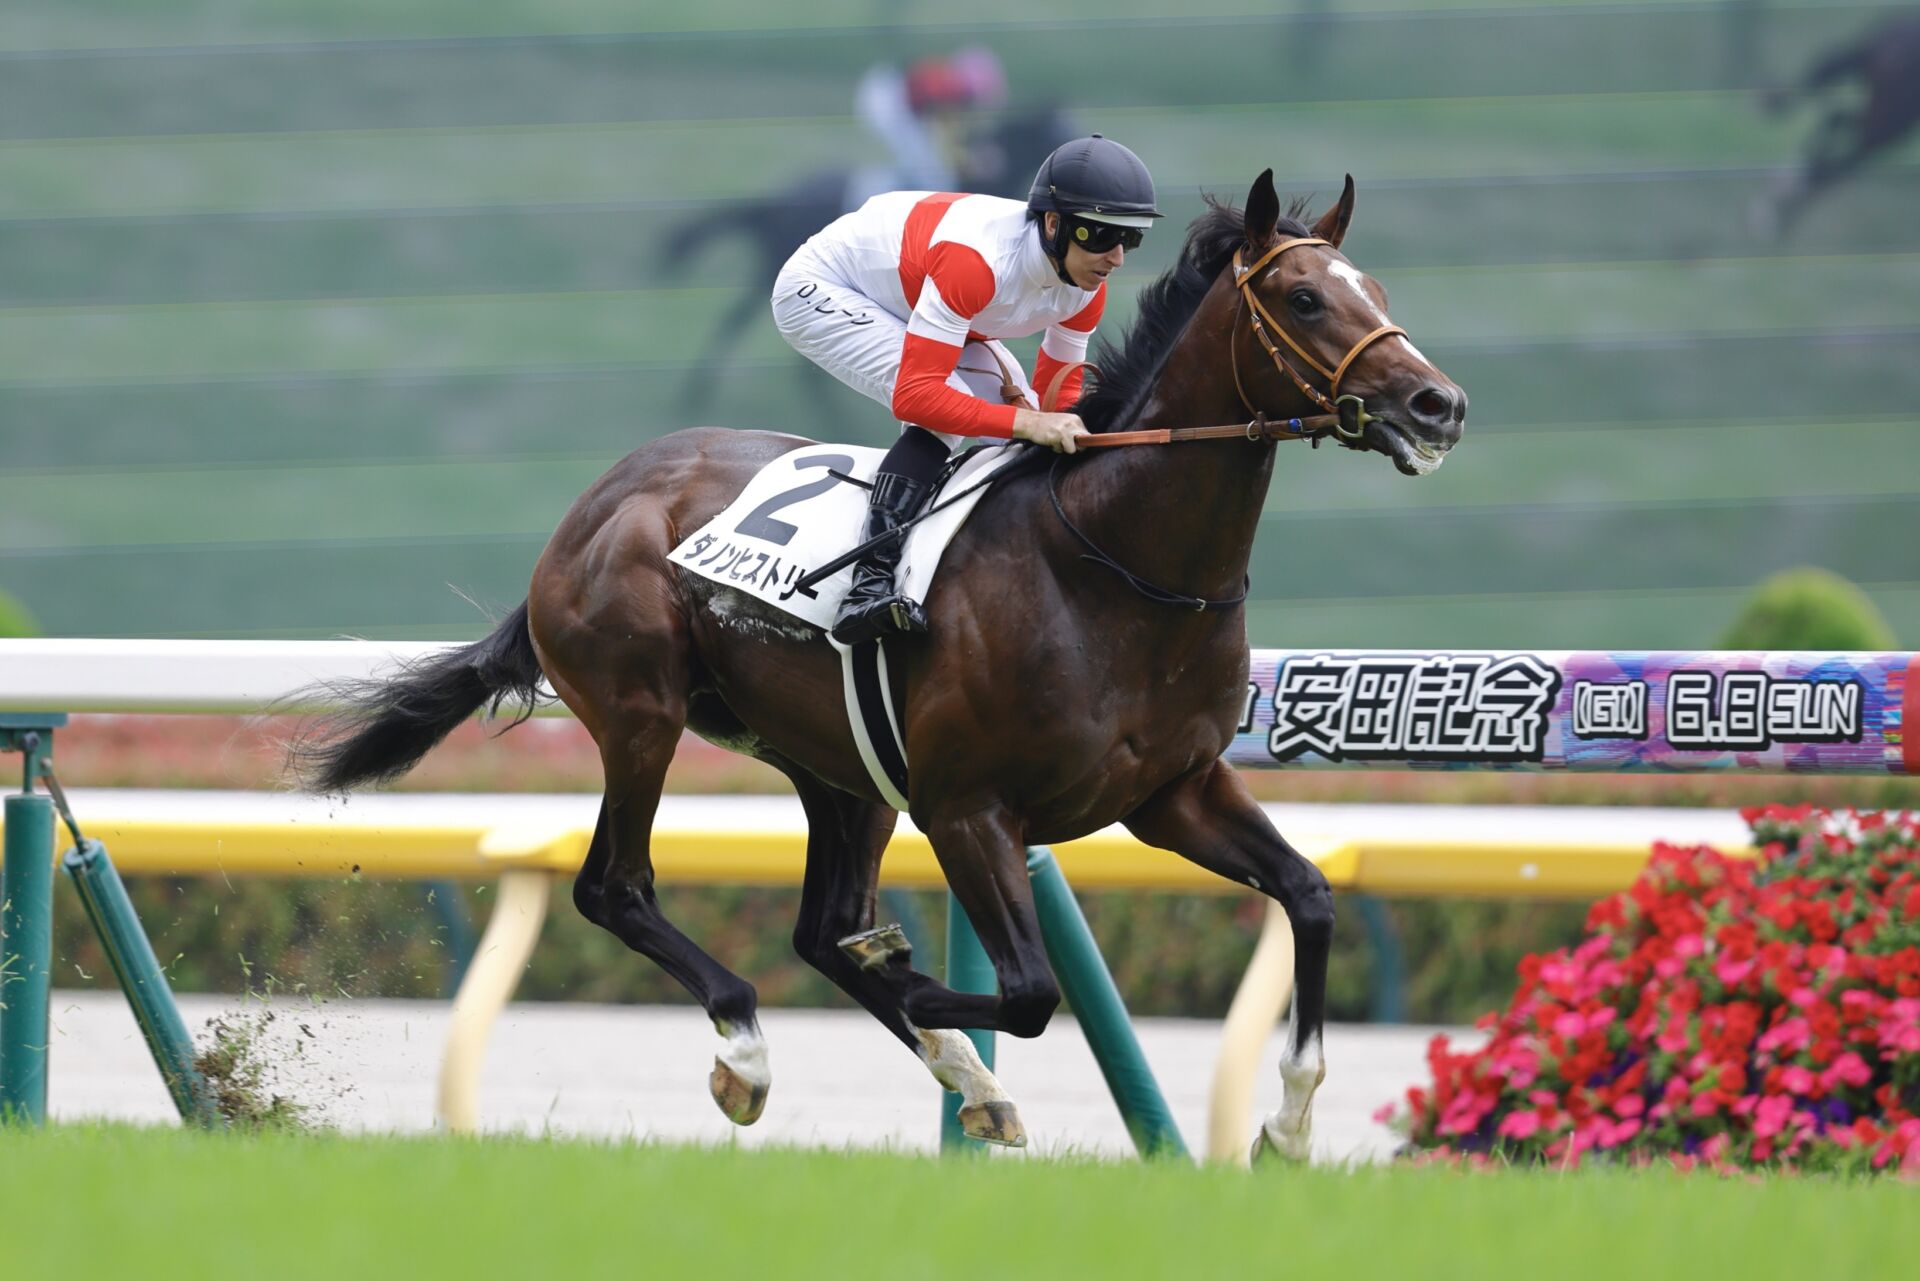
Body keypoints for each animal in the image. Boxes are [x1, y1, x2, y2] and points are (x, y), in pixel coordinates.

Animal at [292, 168, 1467, 1161]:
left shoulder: (1172, 790)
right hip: (641, 711)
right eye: (1305, 300)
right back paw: (752, 1050)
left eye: (1374, 289)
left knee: (816, 928)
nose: (1437, 405)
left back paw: (955, 1074)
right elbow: (1026, 991)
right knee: (615, 889)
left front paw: (1290, 1125)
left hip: (838, 766)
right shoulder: (970, 808)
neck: (1114, 566)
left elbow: (1310, 895)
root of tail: (592, 505)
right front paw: (924, 1004)